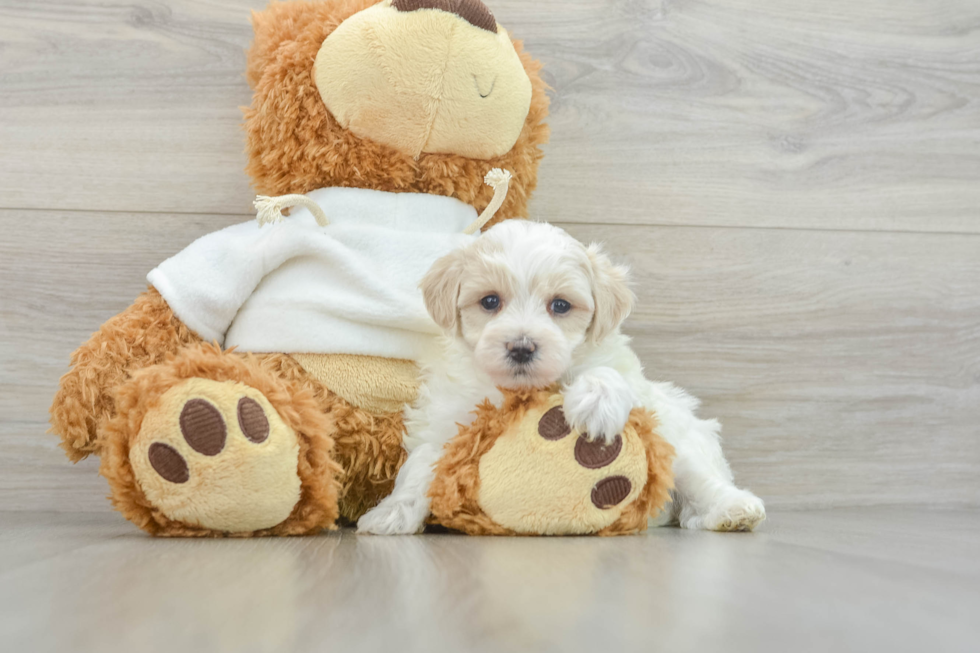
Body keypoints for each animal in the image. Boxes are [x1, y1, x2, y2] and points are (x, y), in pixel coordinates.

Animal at [356, 219, 768, 536]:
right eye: (490, 301)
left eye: (560, 305)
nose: (522, 347)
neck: (520, 389)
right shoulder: (447, 421)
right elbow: (419, 468)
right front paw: (392, 513)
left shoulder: (620, 373)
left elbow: (605, 372)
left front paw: (596, 403)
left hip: (681, 441)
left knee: (702, 481)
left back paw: (733, 510)